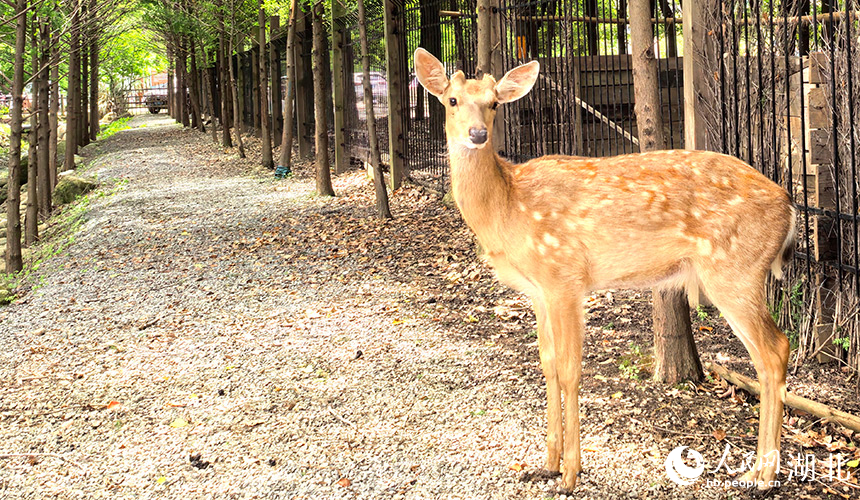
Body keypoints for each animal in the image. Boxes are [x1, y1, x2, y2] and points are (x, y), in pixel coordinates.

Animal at [413, 47, 796, 491]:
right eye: (452, 100)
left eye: (494, 103)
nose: (477, 134)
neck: (508, 209)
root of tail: (790, 207)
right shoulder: (538, 291)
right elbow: (546, 366)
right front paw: (546, 463)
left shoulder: (564, 276)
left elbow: (570, 371)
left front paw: (570, 473)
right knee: (768, 356)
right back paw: (758, 470)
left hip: (734, 269)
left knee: (775, 350)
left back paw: (764, 474)